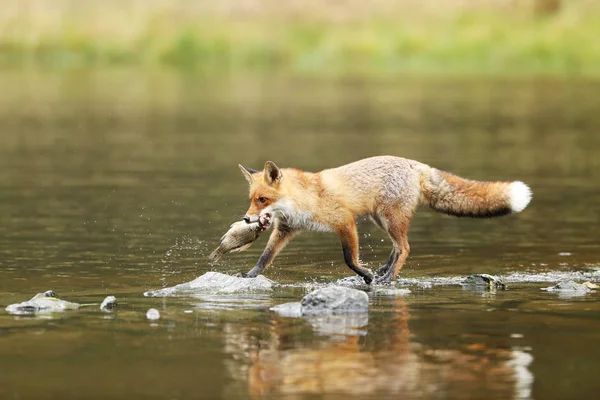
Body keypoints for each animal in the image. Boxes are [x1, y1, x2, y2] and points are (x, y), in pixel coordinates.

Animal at [237, 156, 532, 284]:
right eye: (251, 199)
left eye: (262, 199)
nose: (247, 218)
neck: (304, 198)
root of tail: (414, 163)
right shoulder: (286, 229)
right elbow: (265, 257)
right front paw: (249, 275)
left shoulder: (345, 221)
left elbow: (349, 259)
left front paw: (366, 275)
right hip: (382, 220)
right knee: (397, 247)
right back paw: (384, 271)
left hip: (390, 219)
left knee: (405, 248)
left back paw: (387, 277)